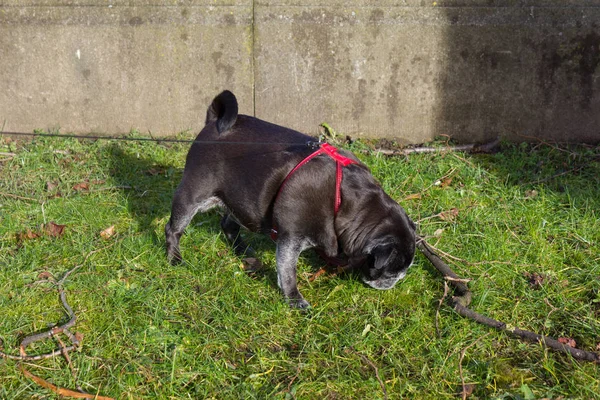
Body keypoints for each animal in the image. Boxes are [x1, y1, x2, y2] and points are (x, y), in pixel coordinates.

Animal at [166, 91, 414, 310]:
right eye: (391, 272)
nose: (394, 282)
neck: (344, 203)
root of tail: (214, 122)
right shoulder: (291, 238)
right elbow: (287, 272)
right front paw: (294, 299)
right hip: (192, 196)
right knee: (173, 229)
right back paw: (174, 258)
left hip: (240, 200)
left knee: (228, 223)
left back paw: (243, 251)